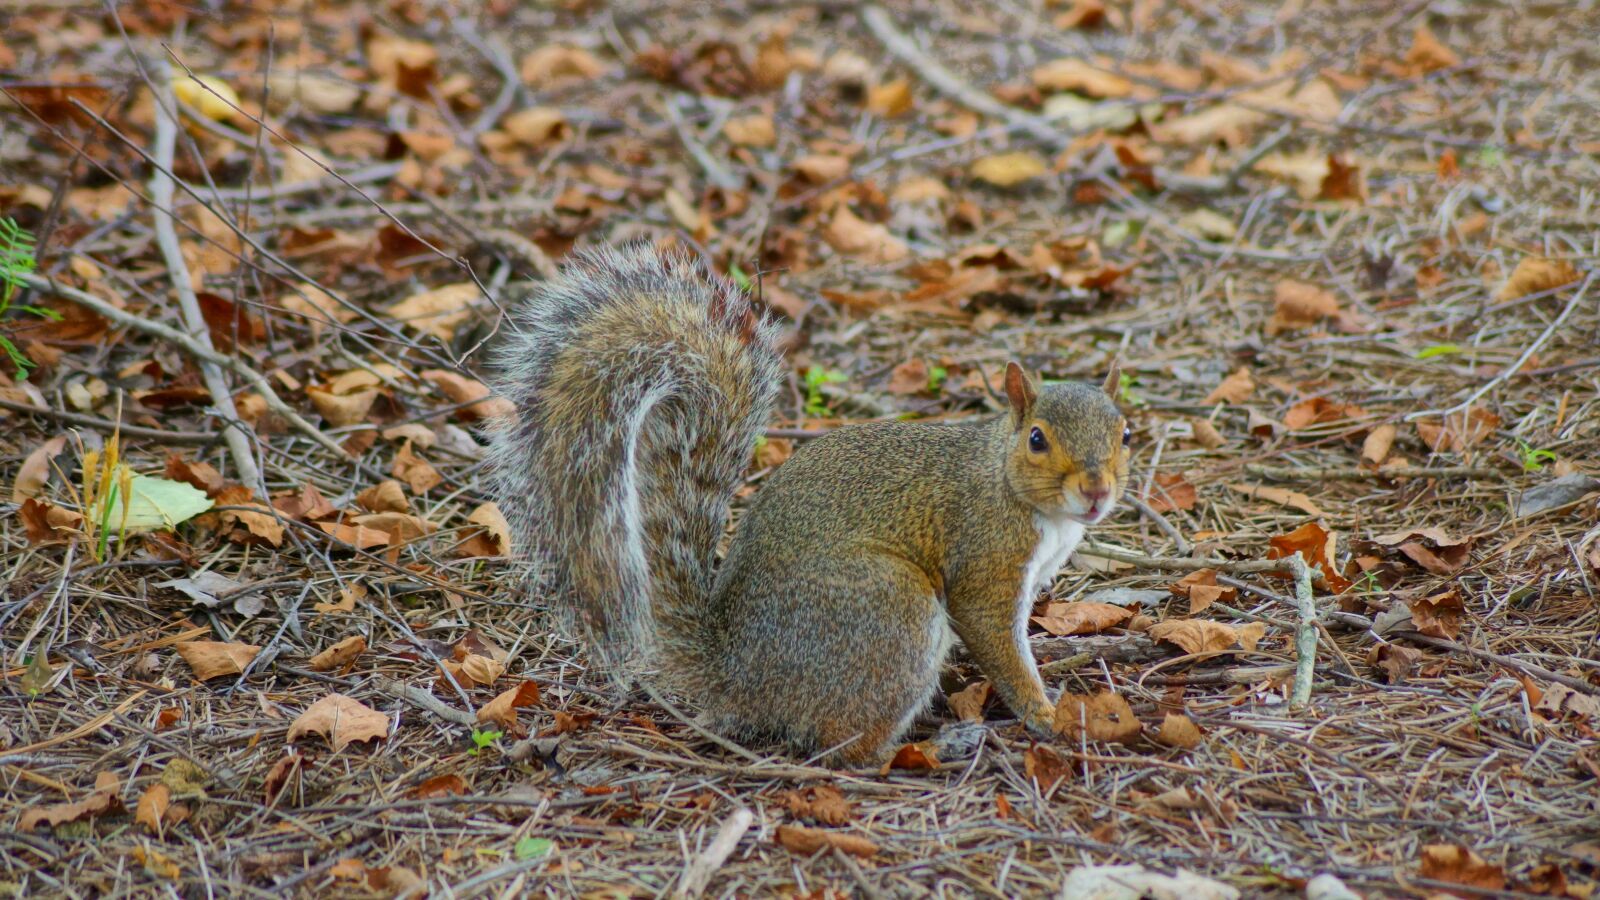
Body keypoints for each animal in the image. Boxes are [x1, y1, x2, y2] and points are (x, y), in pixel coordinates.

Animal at [486, 241, 1126, 759]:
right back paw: (922, 750)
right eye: (1037, 439)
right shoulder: (985, 556)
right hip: (890, 610)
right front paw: (1045, 714)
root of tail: (739, 674)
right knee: (842, 745)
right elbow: (995, 636)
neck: (1014, 488)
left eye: (1123, 433)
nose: (1096, 489)